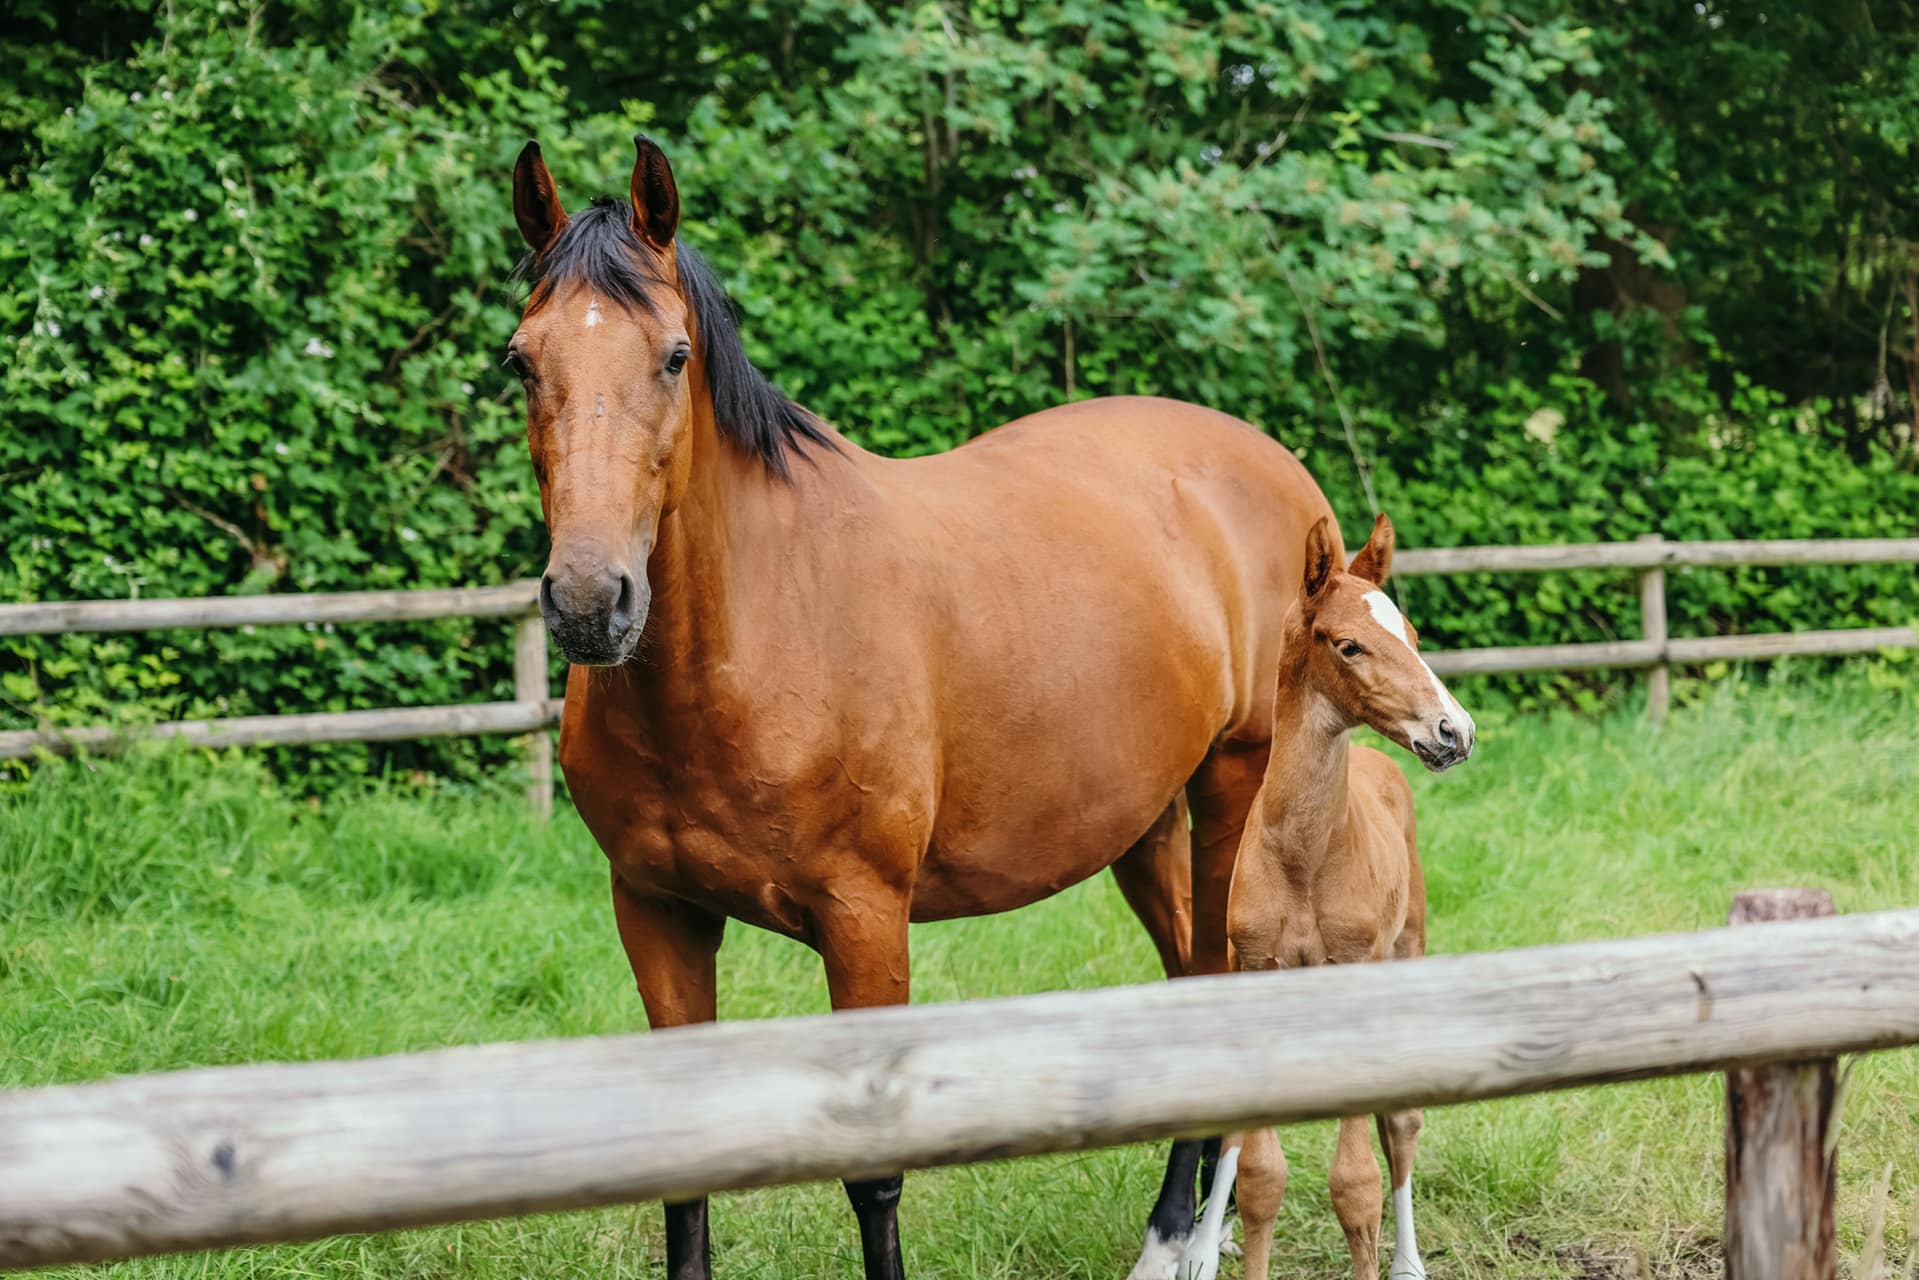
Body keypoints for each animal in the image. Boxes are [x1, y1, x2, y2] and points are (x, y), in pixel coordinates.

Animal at [507, 134, 1336, 1280]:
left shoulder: (864, 917)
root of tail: (1275, 468)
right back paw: (1168, 1232)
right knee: (1181, 979)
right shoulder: (656, 911)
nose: (590, 603)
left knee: (1214, 980)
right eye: (520, 360)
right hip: (1142, 824)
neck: (756, 635)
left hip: (1227, 791)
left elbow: (874, 1172)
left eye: (673, 357)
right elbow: (685, 1167)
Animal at [1175, 513, 1475, 1280]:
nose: (1454, 732)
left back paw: (1407, 1263)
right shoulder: (1254, 973)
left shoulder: (1355, 975)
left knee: (1401, 1122)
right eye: (1349, 644)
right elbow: (1260, 1173)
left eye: (1413, 635)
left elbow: (1356, 1183)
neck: (1303, 861)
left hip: (1405, 950)